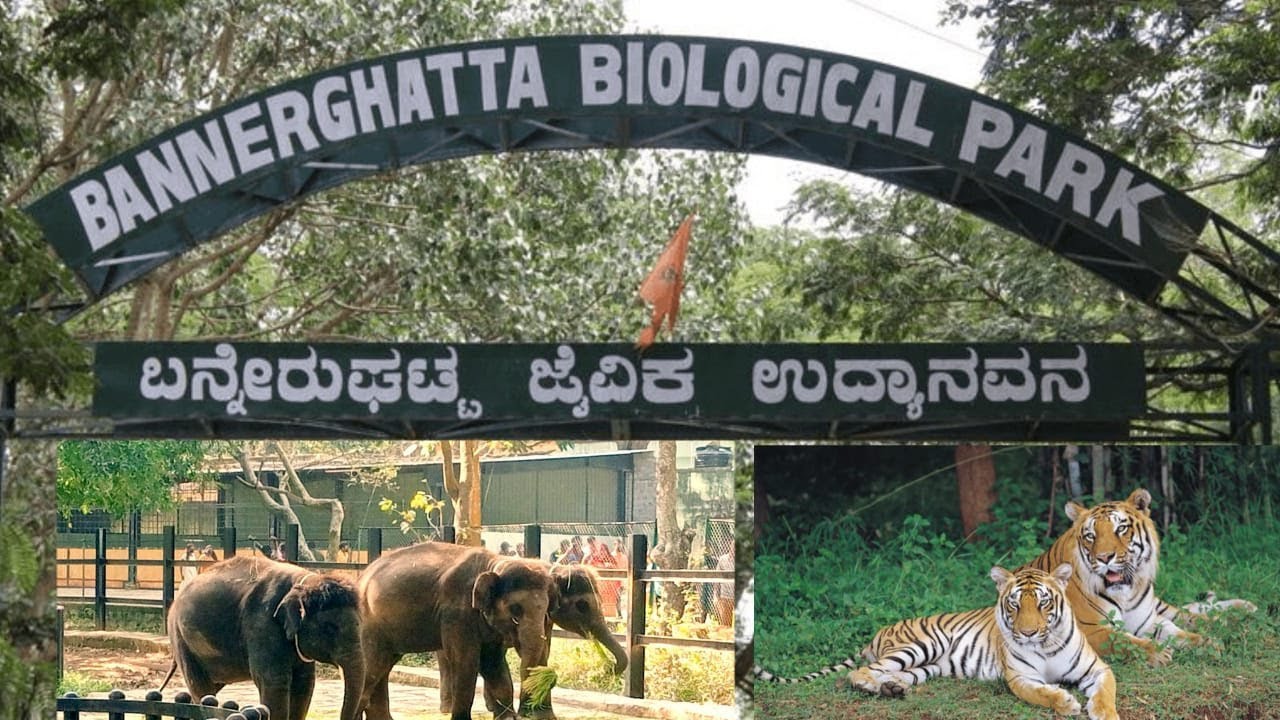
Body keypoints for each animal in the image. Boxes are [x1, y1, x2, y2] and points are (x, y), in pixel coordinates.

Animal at [360, 540, 560, 717]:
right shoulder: (456, 612)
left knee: (382, 669)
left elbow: (492, 662)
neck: (493, 563)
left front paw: (508, 718)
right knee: (372, 668)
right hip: (369, 626)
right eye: (514, 614)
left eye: (545, 612)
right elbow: (466, 660)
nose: (524, 713)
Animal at [752, 563, 1116, 712]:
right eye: (1014, 604)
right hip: (922, 645)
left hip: (931, 666)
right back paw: (870, 685)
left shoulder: (1098, 669)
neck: (1046, 643)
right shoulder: (1021, 678)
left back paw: (893, 688)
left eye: (1043, 602)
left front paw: (1102, 712)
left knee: (897, 675)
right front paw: (1065, 702)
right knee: (860, 672)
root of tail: (878, 632)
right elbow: (1042, 694)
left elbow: (1105, 695)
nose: (1027, 632)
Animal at [1024, 484, 1254, 666]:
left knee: (1186, 614)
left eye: (1120, 528)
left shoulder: (1147, 620)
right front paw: (1159, 653)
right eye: (1090, 536)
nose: (1104, 558)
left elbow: (1178, 632)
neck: (1126, 593)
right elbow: (1123, 641)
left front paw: (1209, 644)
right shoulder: (1091, 630)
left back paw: (1234, 614)